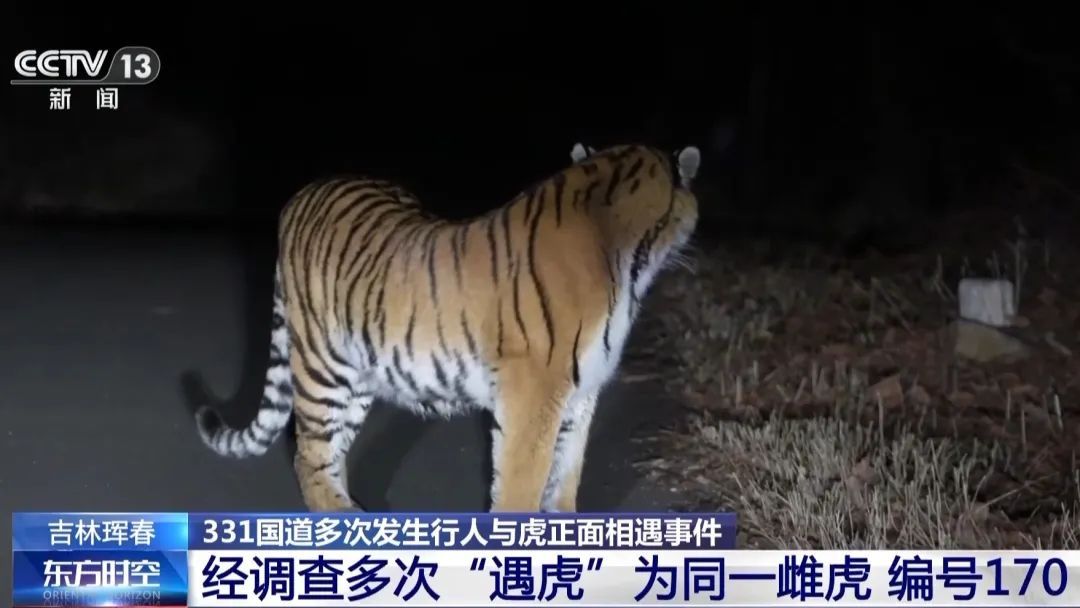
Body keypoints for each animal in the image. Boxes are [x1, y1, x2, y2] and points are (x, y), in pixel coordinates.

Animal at [193, 141, 702, 513]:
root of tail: (301, 195)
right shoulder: (534, 394)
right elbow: (522, 484)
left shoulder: (582, 392)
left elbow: (567, 471)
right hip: (323, 364)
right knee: (309, 457)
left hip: (359, 373)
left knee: (332, 452)